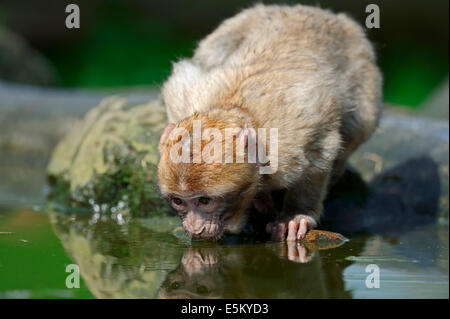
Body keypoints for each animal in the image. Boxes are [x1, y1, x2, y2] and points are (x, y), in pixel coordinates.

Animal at [156, 3, 382, 241]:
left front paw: (296, 213)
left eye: (204, 200)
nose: (194, 227)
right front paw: (260, 197)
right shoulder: (184, 99)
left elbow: (321, 151)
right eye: (178, 201)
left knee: (362, 121)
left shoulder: (292, 137)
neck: (240, 113)